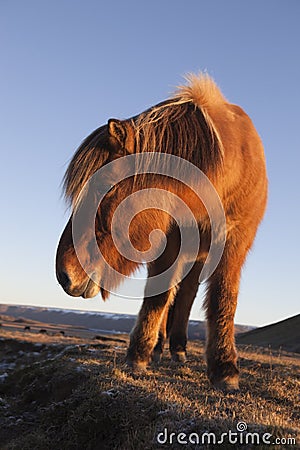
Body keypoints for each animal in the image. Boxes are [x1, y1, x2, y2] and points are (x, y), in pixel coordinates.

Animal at [56, 74, 268, 390]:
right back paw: (159, 348)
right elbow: (158, 295)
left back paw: (179, 349)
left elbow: (222, 297)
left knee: (188, 294)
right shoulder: (170, 237)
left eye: (105, 185)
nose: (64, 275)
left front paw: (225, 369)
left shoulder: (236, 237)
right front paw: (140, 354)